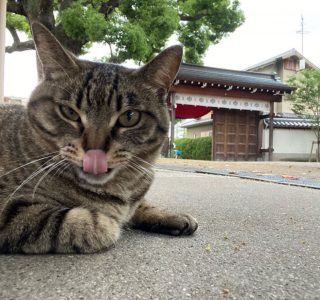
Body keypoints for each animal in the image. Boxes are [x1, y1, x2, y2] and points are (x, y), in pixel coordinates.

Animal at [0, 22, 198, 253]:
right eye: (69, 112)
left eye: (129, 117)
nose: (94, 150)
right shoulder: (10, 207)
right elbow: (82, 221)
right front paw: (111, 221)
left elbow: (141, 204)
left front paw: (169, 215)